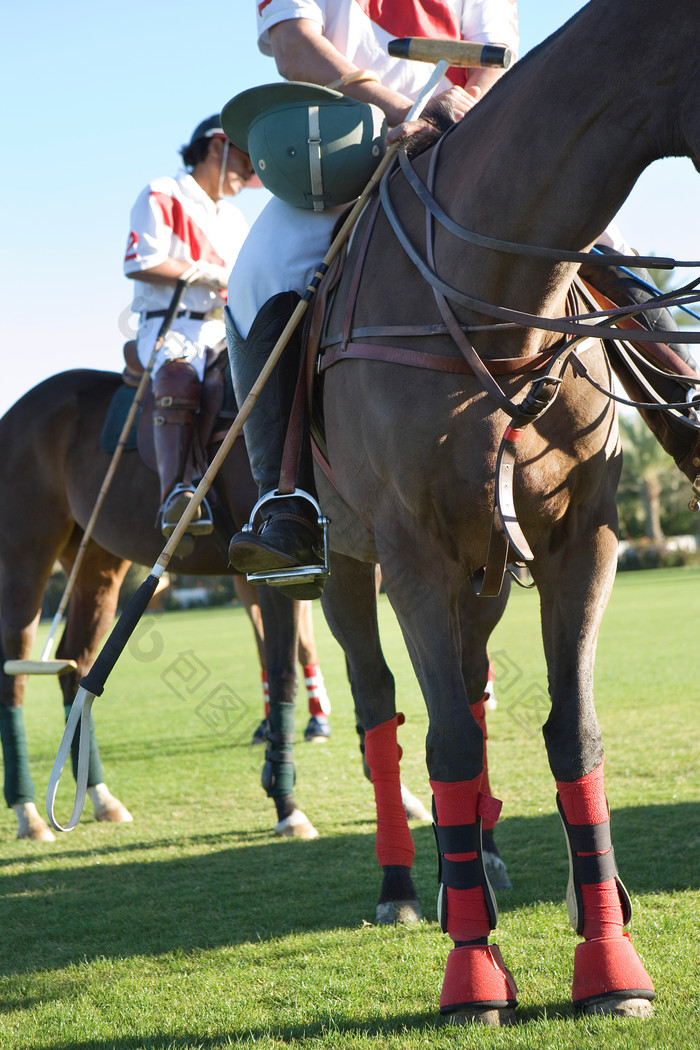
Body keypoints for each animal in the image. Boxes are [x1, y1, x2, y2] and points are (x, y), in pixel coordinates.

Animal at [310, 0, 700, 1024]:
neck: (498, 309)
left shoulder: (581, 541)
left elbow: (572, 731)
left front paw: (610, 958)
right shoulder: (411, 555)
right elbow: (443, 740)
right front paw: (473, 975)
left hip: (483, 571)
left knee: (476, 682)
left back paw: (476, 864)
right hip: (344, 565)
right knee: (379, 704)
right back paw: (408, 889)